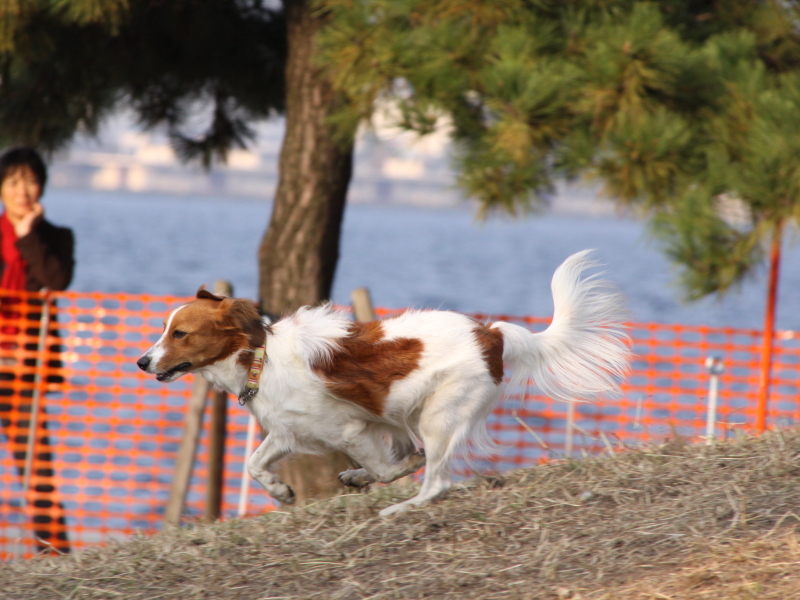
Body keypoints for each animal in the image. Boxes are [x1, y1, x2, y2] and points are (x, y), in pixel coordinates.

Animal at [136, 248, 632, 516]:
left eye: (180, 334)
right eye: (165, 328)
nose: (142, 362)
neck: (260, 357)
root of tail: (490, 332)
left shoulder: (351, 429)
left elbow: (386, 468)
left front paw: (382, 473)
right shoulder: (288, 431)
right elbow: (253, 465)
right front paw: (280, 489)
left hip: (437, 415)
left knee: (436, 482)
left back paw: (401, 505)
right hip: (411, 411)